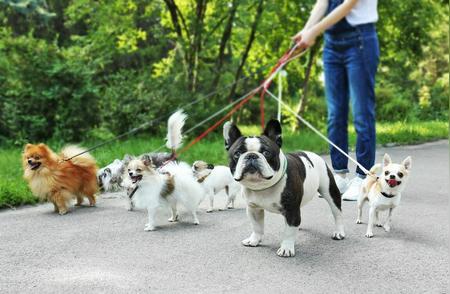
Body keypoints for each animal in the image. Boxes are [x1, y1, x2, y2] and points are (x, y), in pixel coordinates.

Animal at [224, 119, 344, 258]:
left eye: (266, 153)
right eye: (237, 153)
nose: (251, 156)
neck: (262, 186)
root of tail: (311, 154)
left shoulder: (291, 210)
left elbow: (288, 232)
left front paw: (286, 248)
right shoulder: (253, 209)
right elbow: (257, 226)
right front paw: (254, 240)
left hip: (329, 190)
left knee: (337, 212)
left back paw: (339, 232)